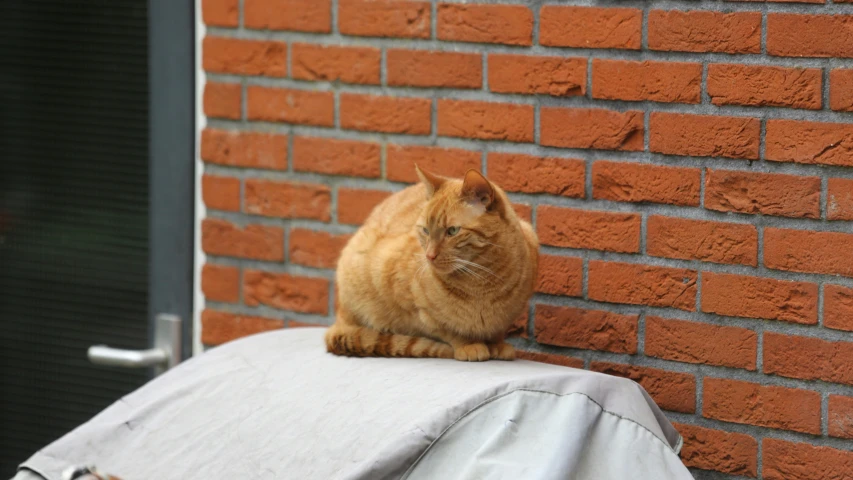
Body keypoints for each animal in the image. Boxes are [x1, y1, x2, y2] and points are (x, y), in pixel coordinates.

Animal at [326, 165, 540, 360]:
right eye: (425, 230)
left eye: (452, 231)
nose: (429, 256)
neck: (483, 279)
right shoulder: (414, 308)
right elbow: (446, 329)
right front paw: (468, 345)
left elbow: (497, 332)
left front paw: (497, 345)